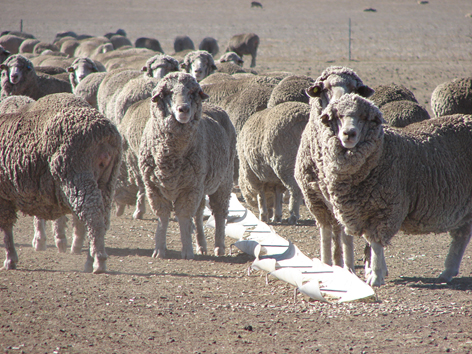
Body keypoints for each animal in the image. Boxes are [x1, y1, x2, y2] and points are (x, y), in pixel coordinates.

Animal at [0, 92, 123, 272]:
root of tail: (105, 133)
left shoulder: (4, 195)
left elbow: (7, 228)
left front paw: (10, 259)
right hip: (107, 181)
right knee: (102, 219)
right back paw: (90, 259)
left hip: (75, 174)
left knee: (92, 216)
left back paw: (98, 261)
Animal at [139, 72, 236, 260]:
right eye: (168, 93)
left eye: (192, 93)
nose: (183, 109)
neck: (170, 157)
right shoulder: (153, 187)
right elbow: (163, 217)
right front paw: (159, 249)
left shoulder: (189, 188)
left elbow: (184, 216)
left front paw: (187, 251)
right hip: (201, 184)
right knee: (198, 214)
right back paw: (201, 245)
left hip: (224, 179)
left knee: (220, 213)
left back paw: (219, 247)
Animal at [296, 65, 372, 272]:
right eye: (326, 88)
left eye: (354, 88)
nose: (341, 104)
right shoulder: (314, 199)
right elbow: (326, 232)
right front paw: (327, 264)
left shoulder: (348, 201)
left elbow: (346, 234)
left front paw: (348, 268)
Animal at [306, 92, 472, 286]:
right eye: (338, 116)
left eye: (364, 117)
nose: (349, 133)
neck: (382, 150)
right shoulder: (364, 209)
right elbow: (371, 242)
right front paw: (376, 271)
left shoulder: (386, 208)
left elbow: (376, 244)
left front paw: (376, 276)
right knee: (461, 235)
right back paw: (447, 272)